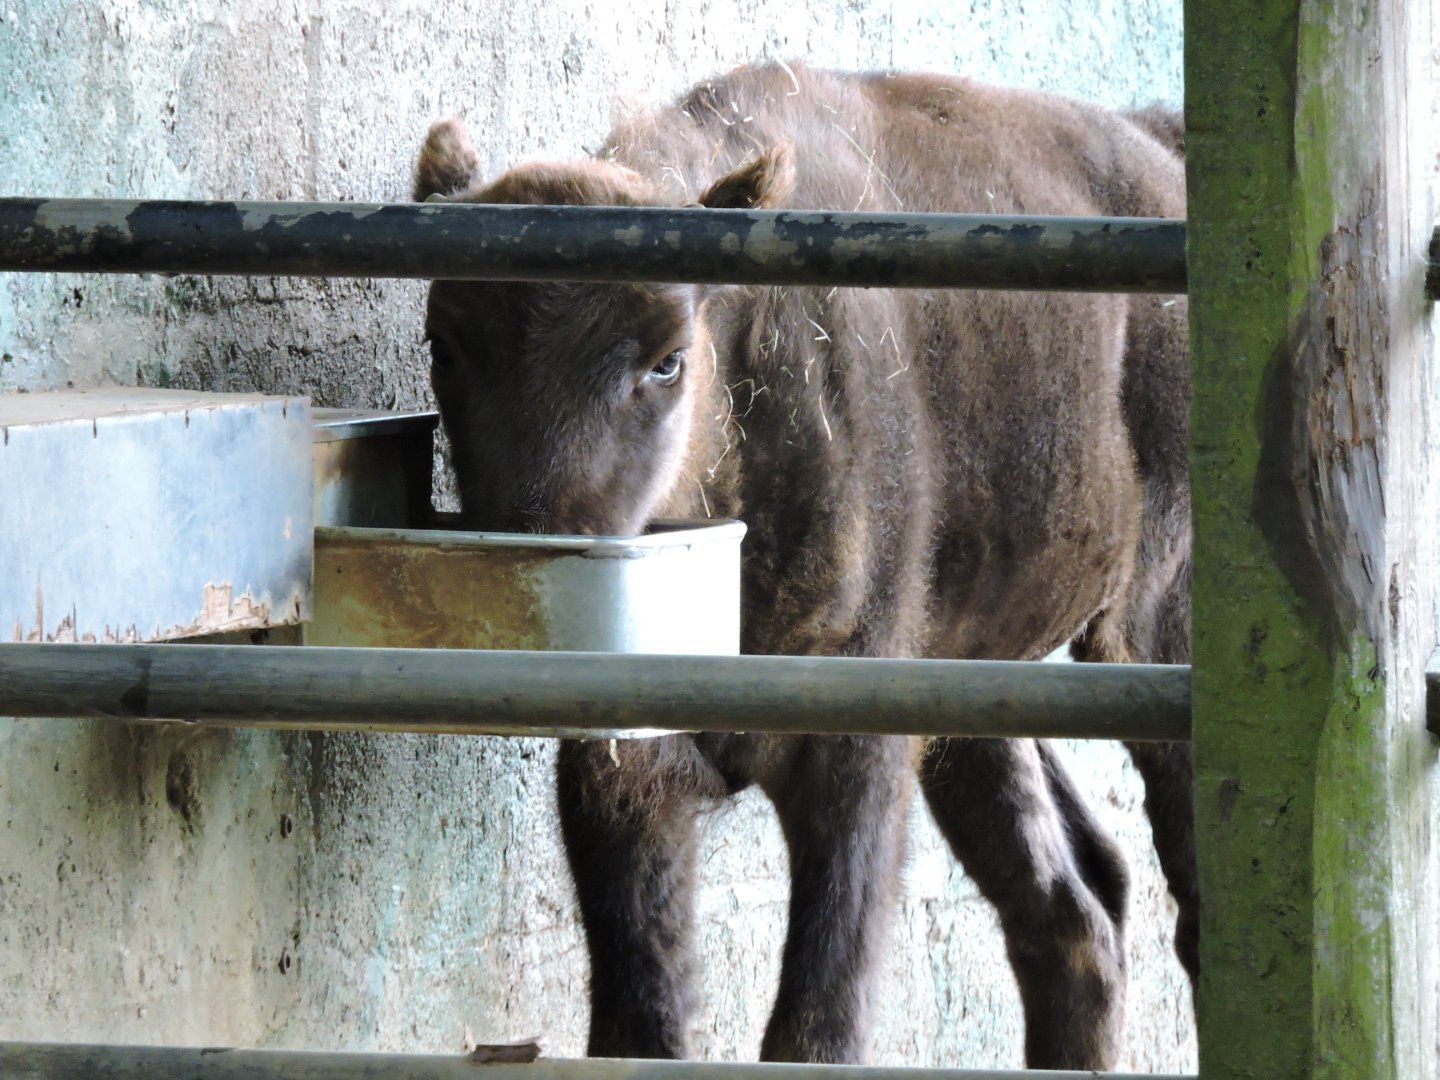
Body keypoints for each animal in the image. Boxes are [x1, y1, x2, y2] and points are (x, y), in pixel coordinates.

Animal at [412, 62, 1194, 1070]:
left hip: (1154, 631)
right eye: (443, 345)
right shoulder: (627, 771)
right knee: (1071, 905)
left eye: (668, 360)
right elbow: (642, 1017)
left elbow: (817, 1022)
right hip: (982, 696)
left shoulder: (854, 740)